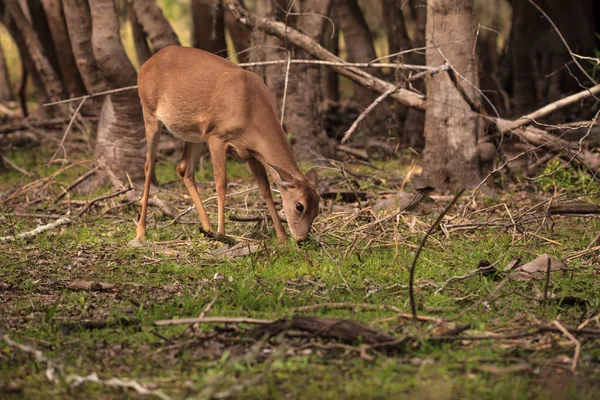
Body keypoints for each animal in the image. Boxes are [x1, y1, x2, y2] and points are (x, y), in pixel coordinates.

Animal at [134, 44, 322, 244]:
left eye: (318, 208)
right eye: (299, 206)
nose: (302, 238)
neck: (250, 108)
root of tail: (145, 65)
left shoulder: (251, 152)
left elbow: (265, 190)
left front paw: (282, 237)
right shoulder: (217, 137)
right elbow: (221, 184)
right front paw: (222, 233)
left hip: (194, 134)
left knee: (184, 169)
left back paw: (207, 228)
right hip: (150, 112)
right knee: (148, 165)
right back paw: (141, 231)